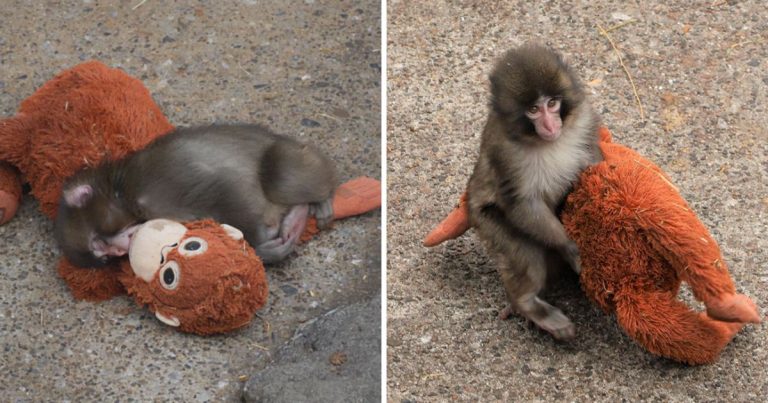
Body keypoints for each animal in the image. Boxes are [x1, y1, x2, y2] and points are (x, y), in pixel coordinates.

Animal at [54, 124, 337, 268]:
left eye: (99, 243)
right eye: (105, 256)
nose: (120, 249)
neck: (121, 190)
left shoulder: (157, 182)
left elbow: (224, 187)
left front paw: (259, 244)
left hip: (294, 156)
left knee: (280, 175)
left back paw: (318, 201)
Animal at [467, 44, 603, 340]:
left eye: (552, 104)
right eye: (532, 110)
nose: (550, 126)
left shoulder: (585, 120)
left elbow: (594, 163)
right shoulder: (504, 152)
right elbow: (522, 203)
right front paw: (570, 247)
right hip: (486, 222)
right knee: (525, 253)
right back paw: (527, 304)